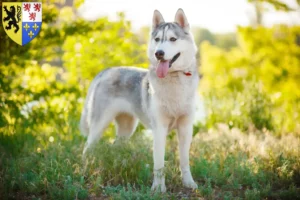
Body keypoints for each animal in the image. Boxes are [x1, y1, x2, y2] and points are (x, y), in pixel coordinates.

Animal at [81, 8, 200, 192]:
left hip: (127, 128)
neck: (174, 80)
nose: (159, 53)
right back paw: (84, 171)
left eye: (173, 39)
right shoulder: (159, 129)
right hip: (98, 126)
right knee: (87, 149)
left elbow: (185, 161)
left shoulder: (186, 128)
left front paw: (188, 183)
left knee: (115, 146)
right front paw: (158, 189)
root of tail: (107, 70)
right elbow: (159, 164)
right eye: (157, 40)